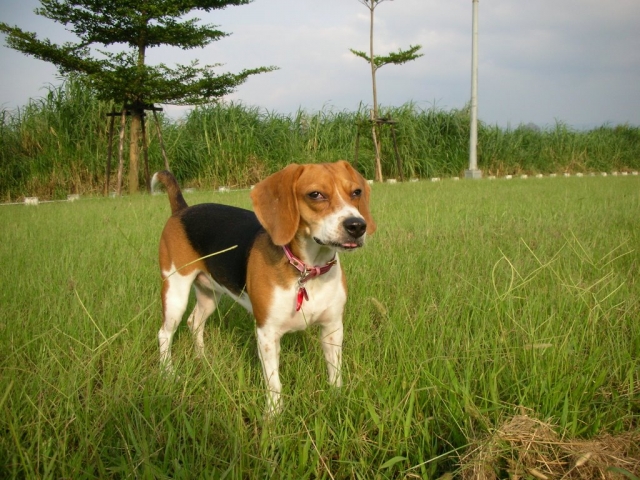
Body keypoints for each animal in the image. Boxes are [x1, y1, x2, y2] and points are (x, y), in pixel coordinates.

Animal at [152, 162, 376, 416]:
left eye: (356, 192)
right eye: (315, 194)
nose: (357, 225)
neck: (308, 271)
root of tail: (182, 210)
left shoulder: (332, 328)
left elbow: (334, 370)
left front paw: (337, 398)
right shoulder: (267, 334)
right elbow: (273, 382)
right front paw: (273, 415)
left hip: (210, 295)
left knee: (195, 322)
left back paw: (204, 359)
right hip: (175, 293)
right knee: (165, 334)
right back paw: (168, 374)